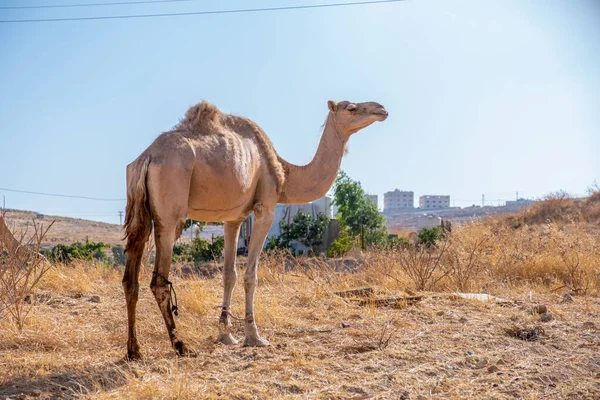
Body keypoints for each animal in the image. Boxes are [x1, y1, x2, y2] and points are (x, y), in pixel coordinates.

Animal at [123, 99, 390, 360]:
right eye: (352, 108)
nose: (381, 109)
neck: (285, 174)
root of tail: (147, 157)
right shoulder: (265, 208)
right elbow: (251, 275)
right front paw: (254, 336)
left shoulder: (233, 218)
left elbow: (229, 274)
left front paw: (226, 335)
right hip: (171, 212)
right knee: (158, 281)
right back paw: (180, 346)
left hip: (139, 214)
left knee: (130, 279)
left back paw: (134, 350)